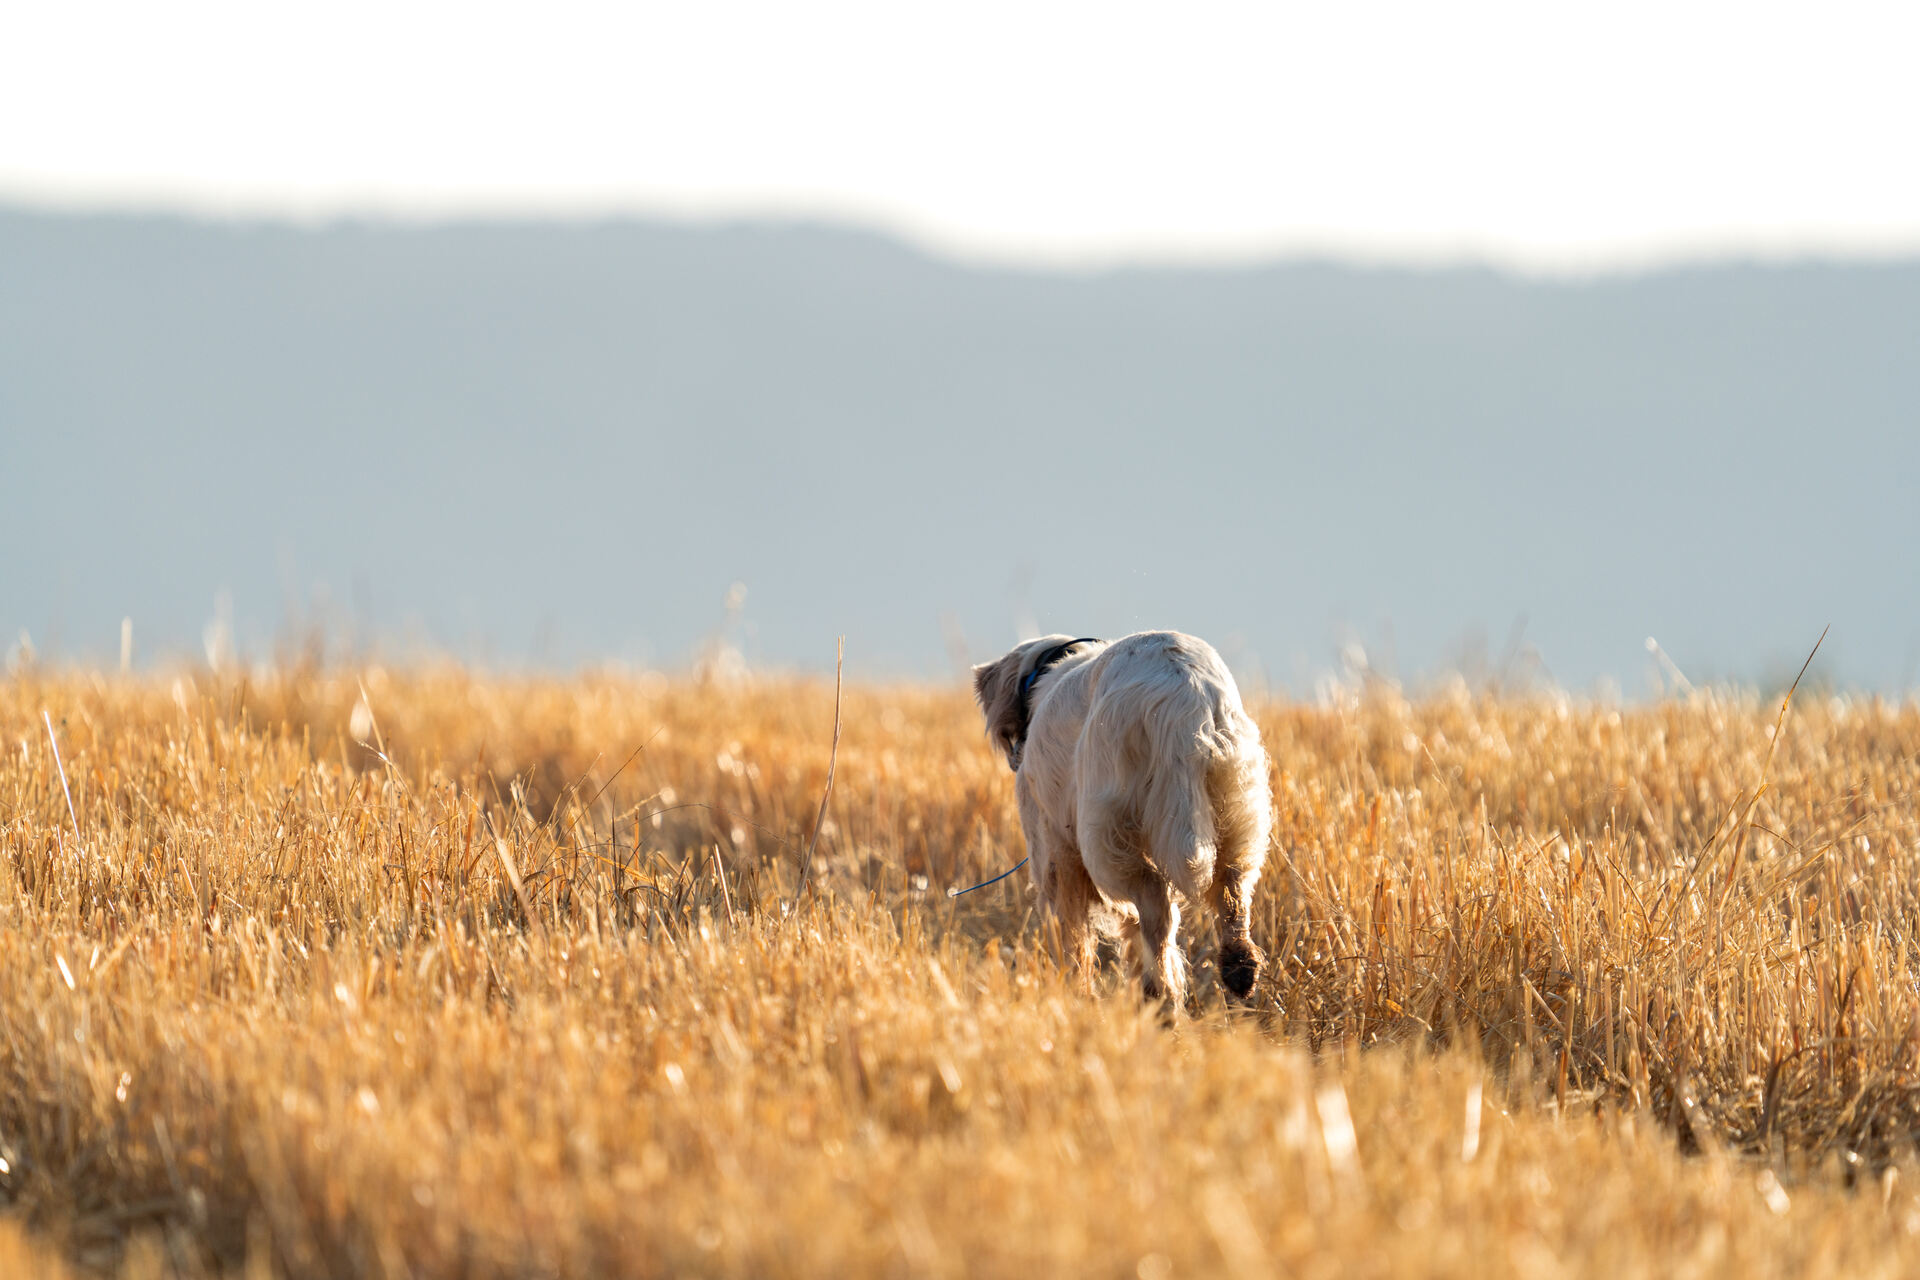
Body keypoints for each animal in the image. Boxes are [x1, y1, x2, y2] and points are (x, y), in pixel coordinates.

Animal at [975, 629, 1274, 1013]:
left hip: (1106, 831)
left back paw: (1162, 997)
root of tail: (1181, 693)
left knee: (1155, 904)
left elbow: (1072, 939)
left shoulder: (1053, 856)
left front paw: (1077, 994)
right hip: (1237, 806)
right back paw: (1236, 969)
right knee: (1230, 888)